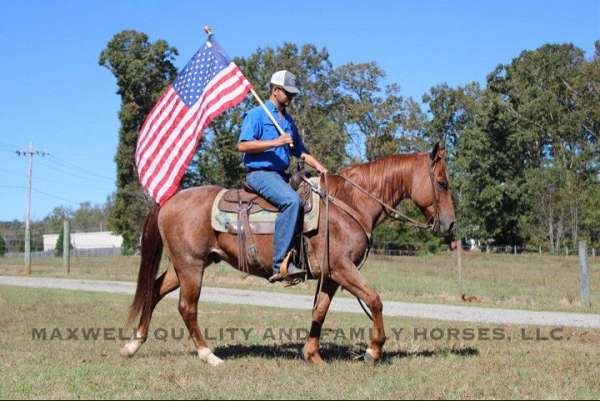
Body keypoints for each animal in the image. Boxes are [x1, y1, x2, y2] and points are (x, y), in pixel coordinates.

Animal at [119, 142, 454, 364]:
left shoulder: (330, 275)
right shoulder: (343, 268)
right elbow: (375, 300)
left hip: (186, 265)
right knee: (187, 307)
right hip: (191, 267)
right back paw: (208, 355)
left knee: (154, 291)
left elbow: (320, 310)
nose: (450, 224)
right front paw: (373, 351)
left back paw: (133, 345)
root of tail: (169, 200)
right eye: (442, 182)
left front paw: (313, 356)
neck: (350, 202)